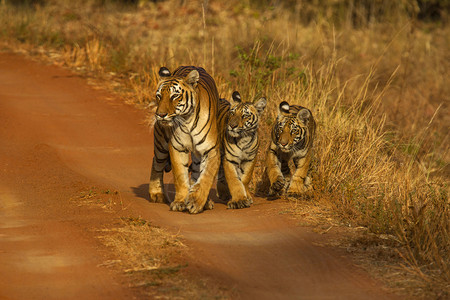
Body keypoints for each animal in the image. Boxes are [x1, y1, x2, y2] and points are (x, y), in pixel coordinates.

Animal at [149, 67, 221, 214]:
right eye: (159, 96)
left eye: (174, 96)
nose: (160, 115)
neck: (187, 121)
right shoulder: (177, 147)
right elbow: (180, 177)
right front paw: (180, 202)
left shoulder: (211, 150)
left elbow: (206, 177)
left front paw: (196, 202)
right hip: (160, 143)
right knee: (156, 162)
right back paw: (156, 193)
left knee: (196, 172)